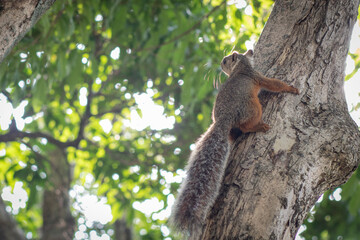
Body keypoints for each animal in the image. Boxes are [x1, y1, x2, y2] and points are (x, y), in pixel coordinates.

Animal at [170, 49, 300, 236]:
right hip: (252, 107)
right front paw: (291, 88)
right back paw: (259, 126)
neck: (241, 67)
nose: (251, 50)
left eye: (225, 61)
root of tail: (224, 119)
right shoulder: (257, 76)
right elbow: (273, 84)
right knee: (246, 126)